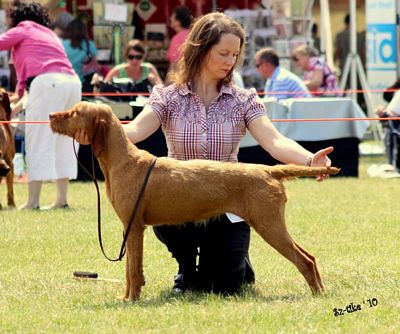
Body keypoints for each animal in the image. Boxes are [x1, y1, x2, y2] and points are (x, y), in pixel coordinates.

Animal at [48, 101, 340, 300]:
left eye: (74, 112)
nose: (50, 115)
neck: (123, 161)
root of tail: (269, 170)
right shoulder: (130, 228)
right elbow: (132, 268)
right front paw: (128, 296)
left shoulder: (134, 227)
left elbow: (132, 269)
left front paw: (130, 299)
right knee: (310, 257)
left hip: (269, 225)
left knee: (305, 260)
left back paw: (317, 294)